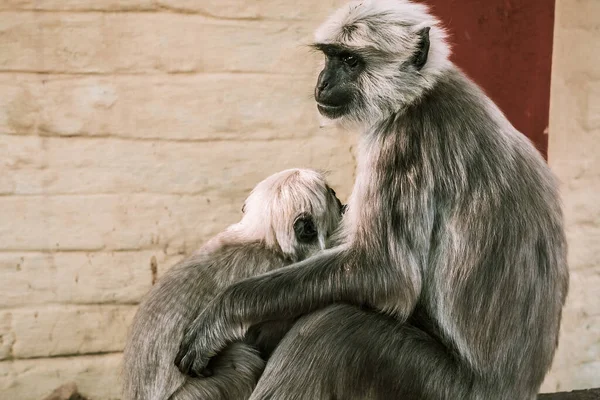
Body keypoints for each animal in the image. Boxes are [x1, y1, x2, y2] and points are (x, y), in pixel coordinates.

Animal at [176, 1, 568, 398]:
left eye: (351, 61)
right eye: (331, 57)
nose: (323, 82)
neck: (420, 93)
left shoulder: (404, 140)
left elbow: (384, 272)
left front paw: (225, 311)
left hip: (439, 385)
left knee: (330, 327)